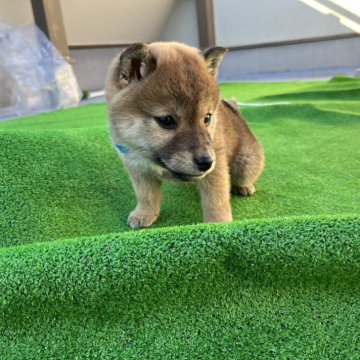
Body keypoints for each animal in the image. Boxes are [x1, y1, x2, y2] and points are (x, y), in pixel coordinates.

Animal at [105, 41, 262, 228]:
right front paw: (144, 214)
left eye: (207, 118)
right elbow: (146, 195)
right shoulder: (137, 166)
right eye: (167, 120)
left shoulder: (216, 170)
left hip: (245, 166)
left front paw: (219, 225)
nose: (207, 162)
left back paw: (245, 187)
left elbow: (216, 201)